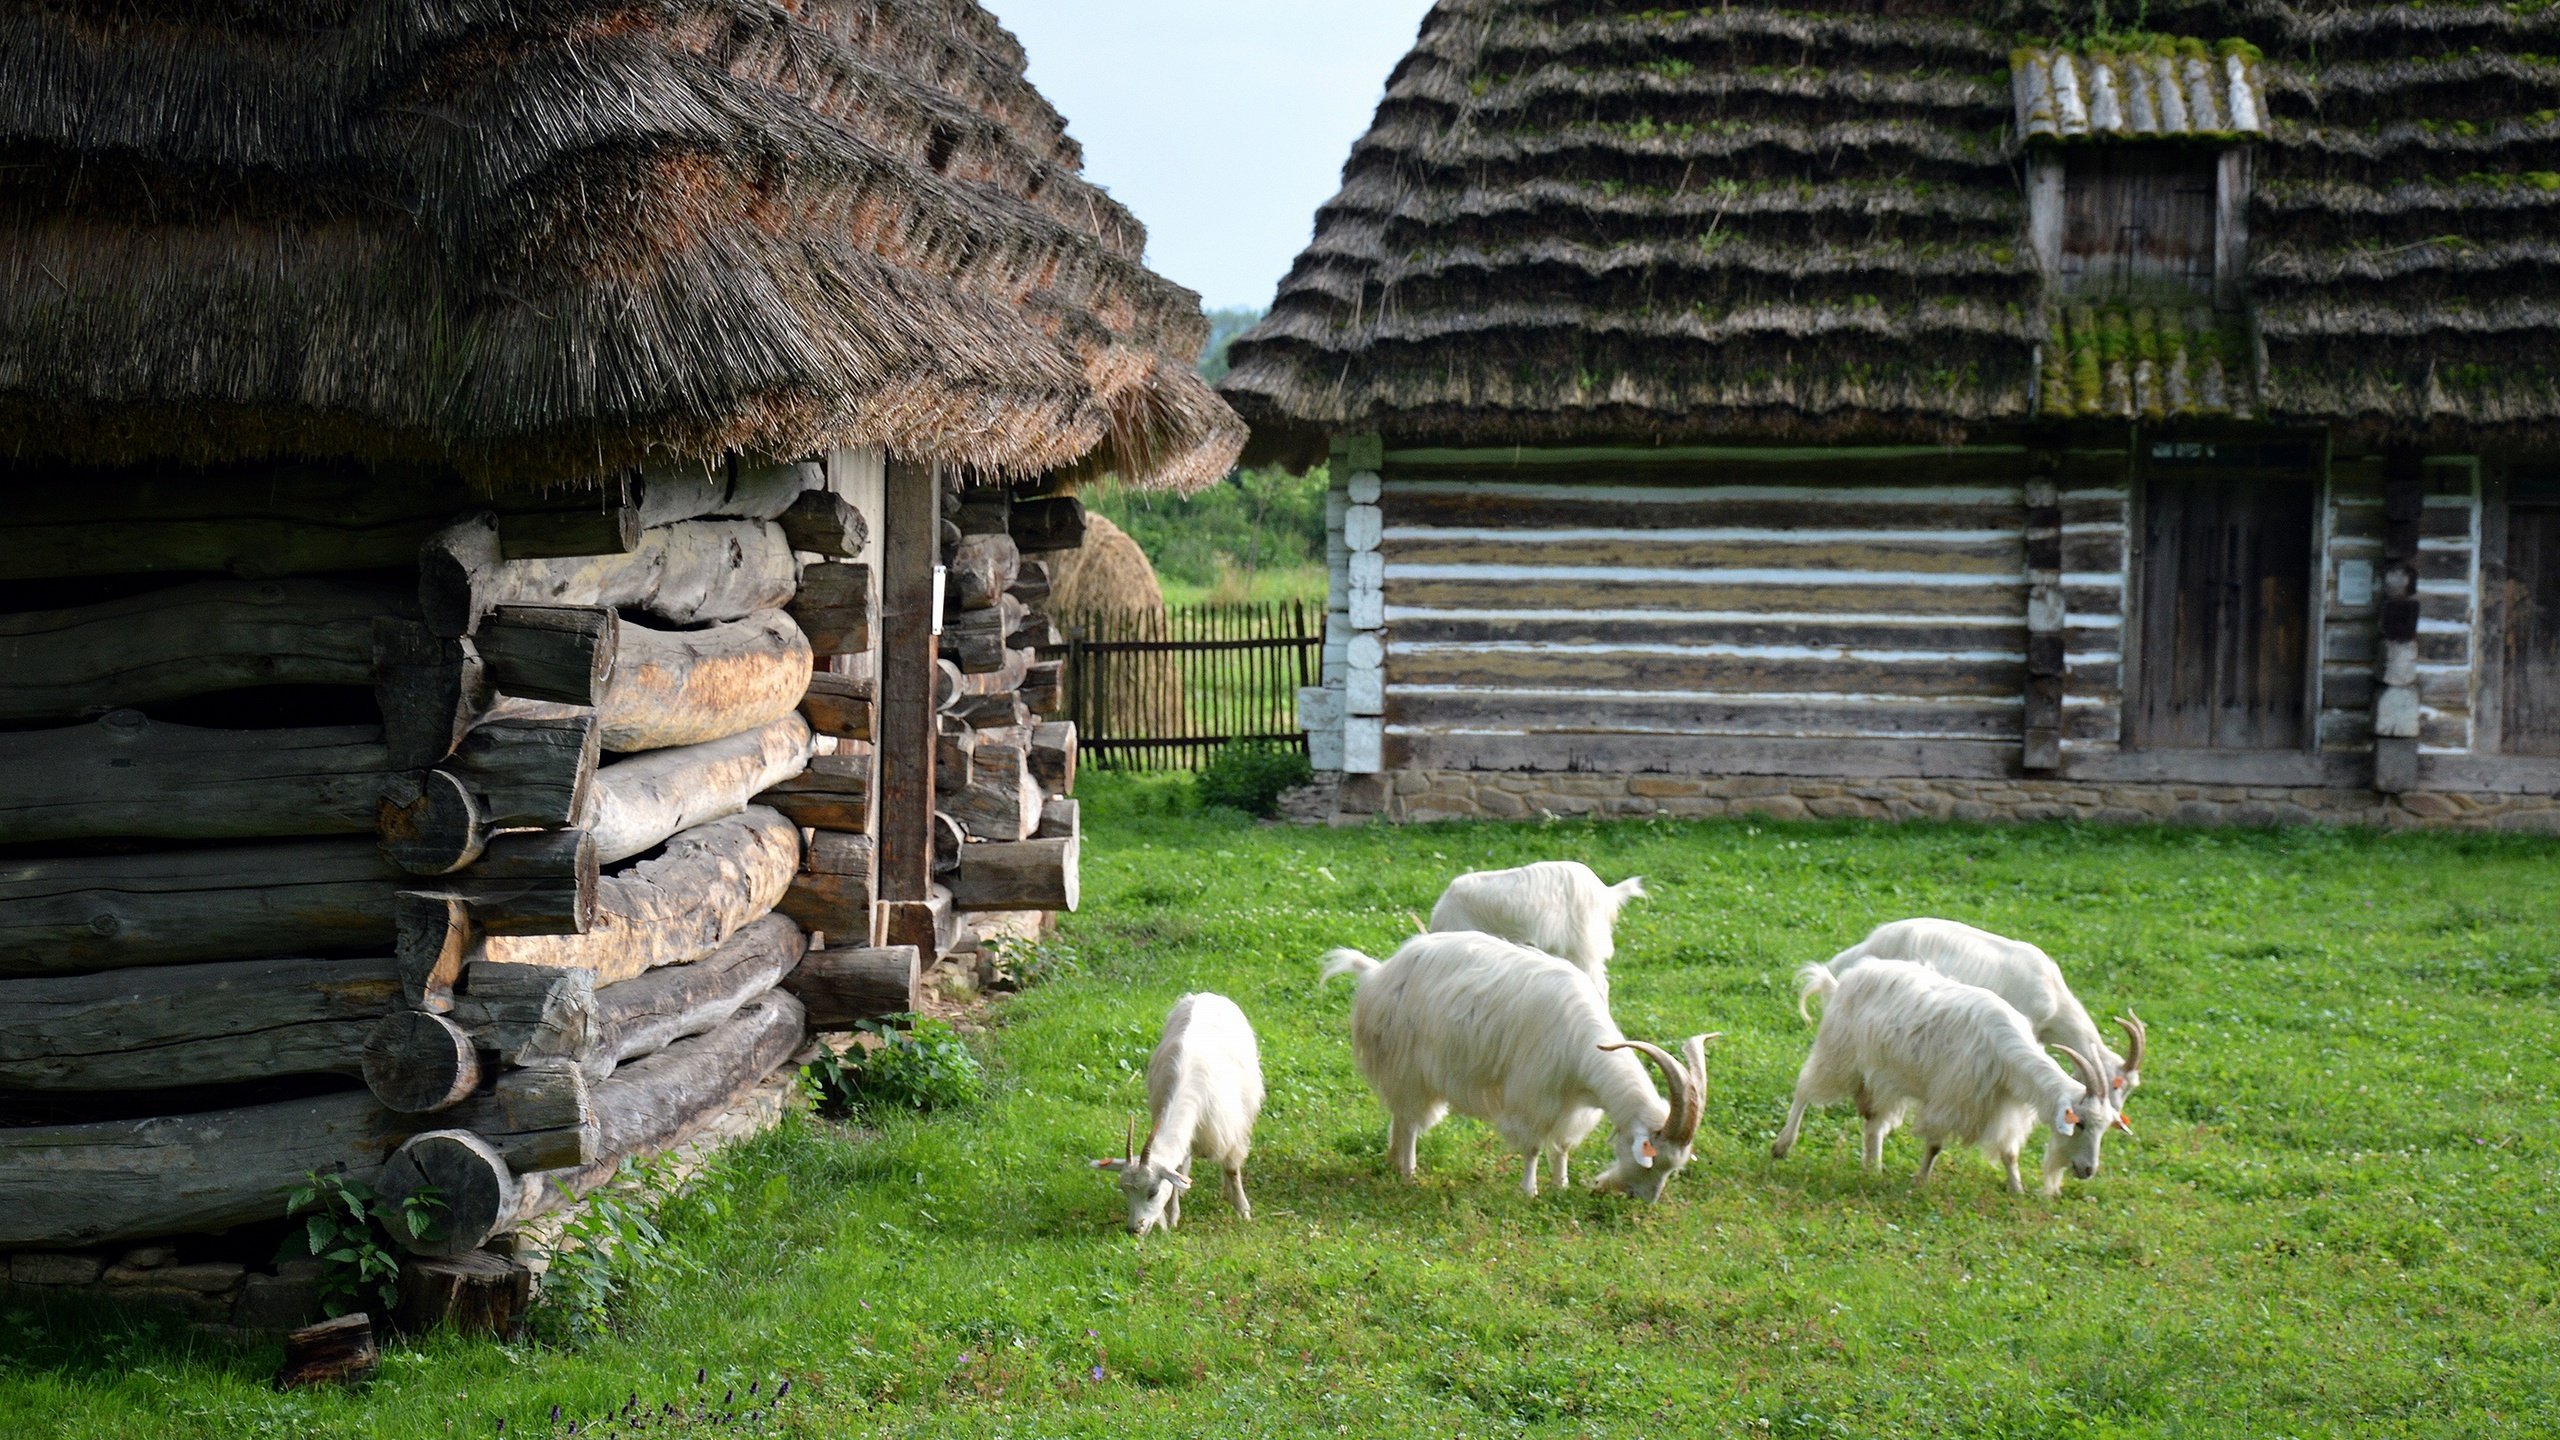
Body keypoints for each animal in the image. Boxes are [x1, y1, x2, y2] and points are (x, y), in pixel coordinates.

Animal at [1090, 983, 1269, 1235]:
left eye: (1153, 1192)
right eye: (1124, 1190)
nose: (1134, 1229)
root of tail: (1208, 995)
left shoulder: (1230, 1131)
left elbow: (1232, 1169)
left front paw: (1242, 1210)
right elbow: (1176, 1170)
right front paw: (1173, 1216)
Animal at [1320, 922, 1720, 1194]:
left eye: (1673, 1168)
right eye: (1653, 1162)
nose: (1643, 1199)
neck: (1583, 1051)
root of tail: (1377, 973)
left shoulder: (1570, 1106)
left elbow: (1561, 1146)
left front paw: (1561, 1184)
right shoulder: (1532, 1097)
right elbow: (1532, 1147)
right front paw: (1530, 1191)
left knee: (1401, 1118)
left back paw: (1393, 1160)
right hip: (1409, 1068)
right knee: (1409, 1120)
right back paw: (1408, 1171)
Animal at [1781, 953, 2119, 1188]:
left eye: (2104, 1128)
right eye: (2079, 1124)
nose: (2088, 1170)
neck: (2004, 1051)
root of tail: (1841, 983)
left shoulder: (2001, 1106)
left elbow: (2009, 1153)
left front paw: (2017, 1188)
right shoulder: (1951, 1098)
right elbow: (1934, 1145)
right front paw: (1920, 1181)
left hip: (1886, 1077)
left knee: (1874, 1125)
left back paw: (1873, 1169)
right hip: (1839, 1056)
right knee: (1805, 1088)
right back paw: (1782, 1145)